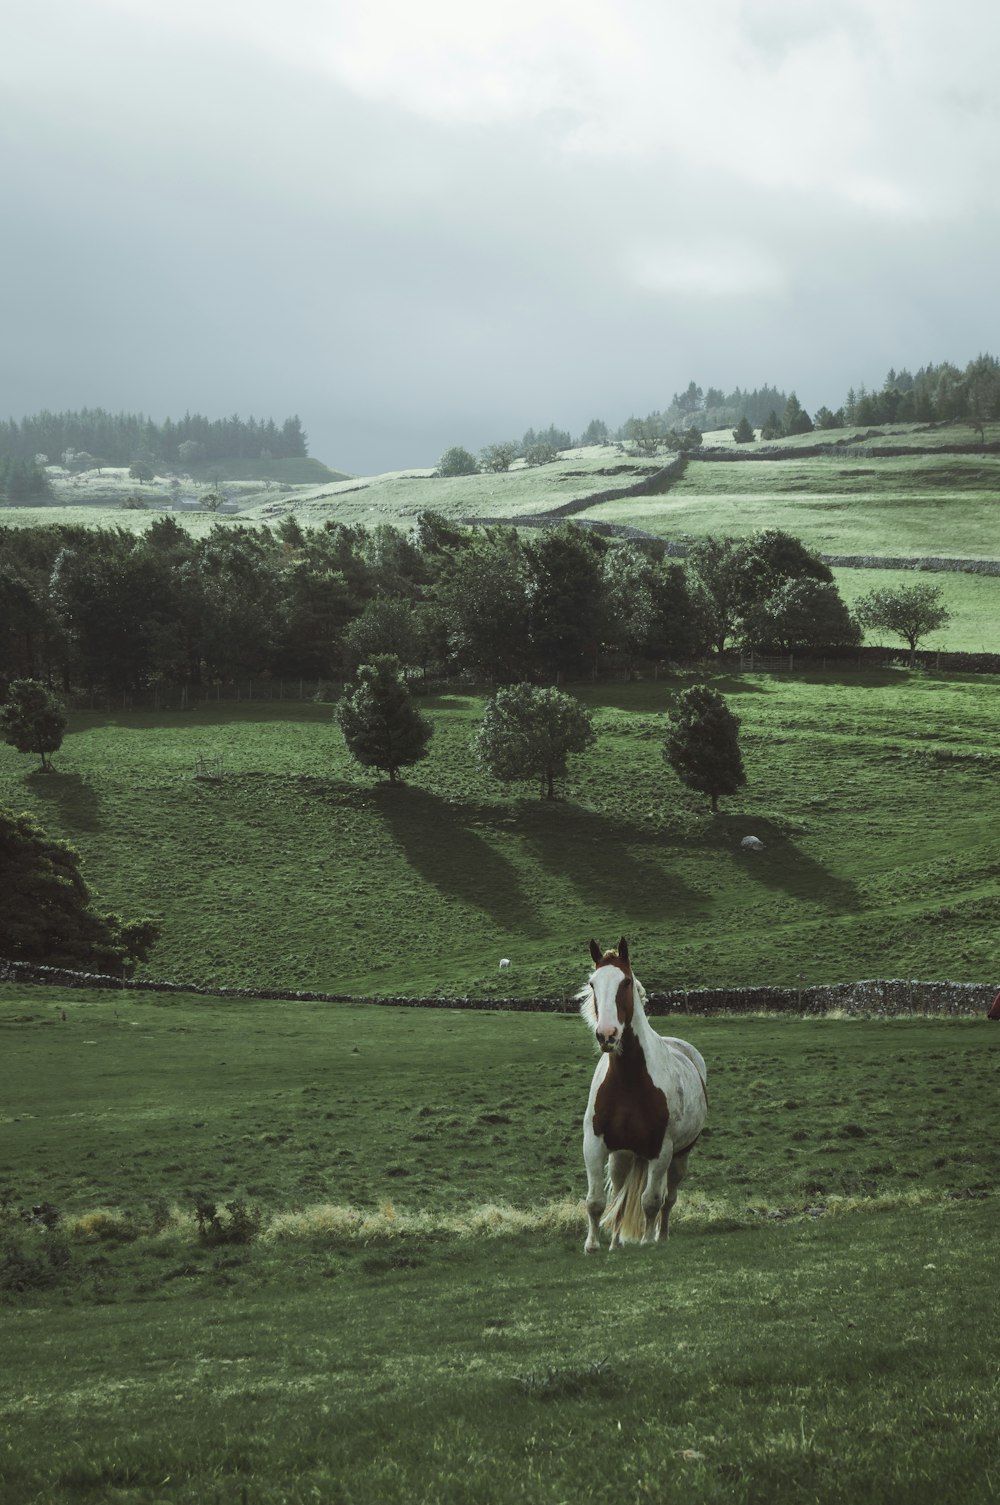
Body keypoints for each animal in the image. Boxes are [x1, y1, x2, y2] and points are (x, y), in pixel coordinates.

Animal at [575, 933, 707, 1252]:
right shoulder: (594, 1143)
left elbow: (651, 1201)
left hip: (679, 1157)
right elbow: (597, 1201)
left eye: (624, 982)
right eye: (593, 983)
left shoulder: (662, 1149)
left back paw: (661, 1235)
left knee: (668, 1200)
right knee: (620, 1196)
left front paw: (647, 1241)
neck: (629, 1080)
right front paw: (593, 1245)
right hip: (623, 1156)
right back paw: (615, 1243)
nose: (607, 1035)